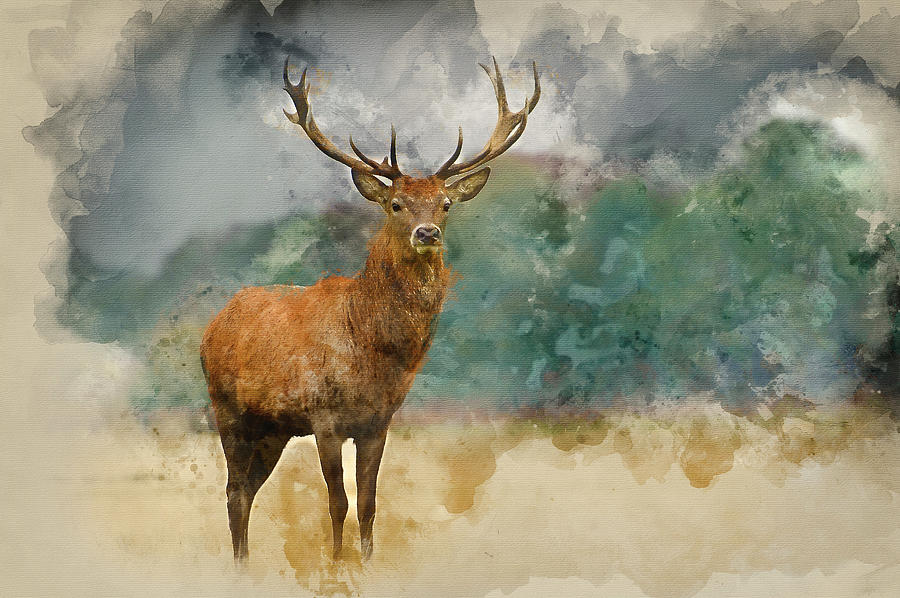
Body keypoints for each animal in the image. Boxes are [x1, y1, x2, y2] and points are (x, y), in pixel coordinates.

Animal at [200, 56, 540, 564]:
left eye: (445, 204)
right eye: (396, 204)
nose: (427, 233)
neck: (371, 350)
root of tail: (211, 325)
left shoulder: (379, 422)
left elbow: (368, 503)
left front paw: (367, 562)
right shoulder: (323, 416)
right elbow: (337, 503)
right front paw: (337, 565)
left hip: (272, 427)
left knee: (247, 490)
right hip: (228, 408)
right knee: (234, 490)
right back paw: (240, 567)